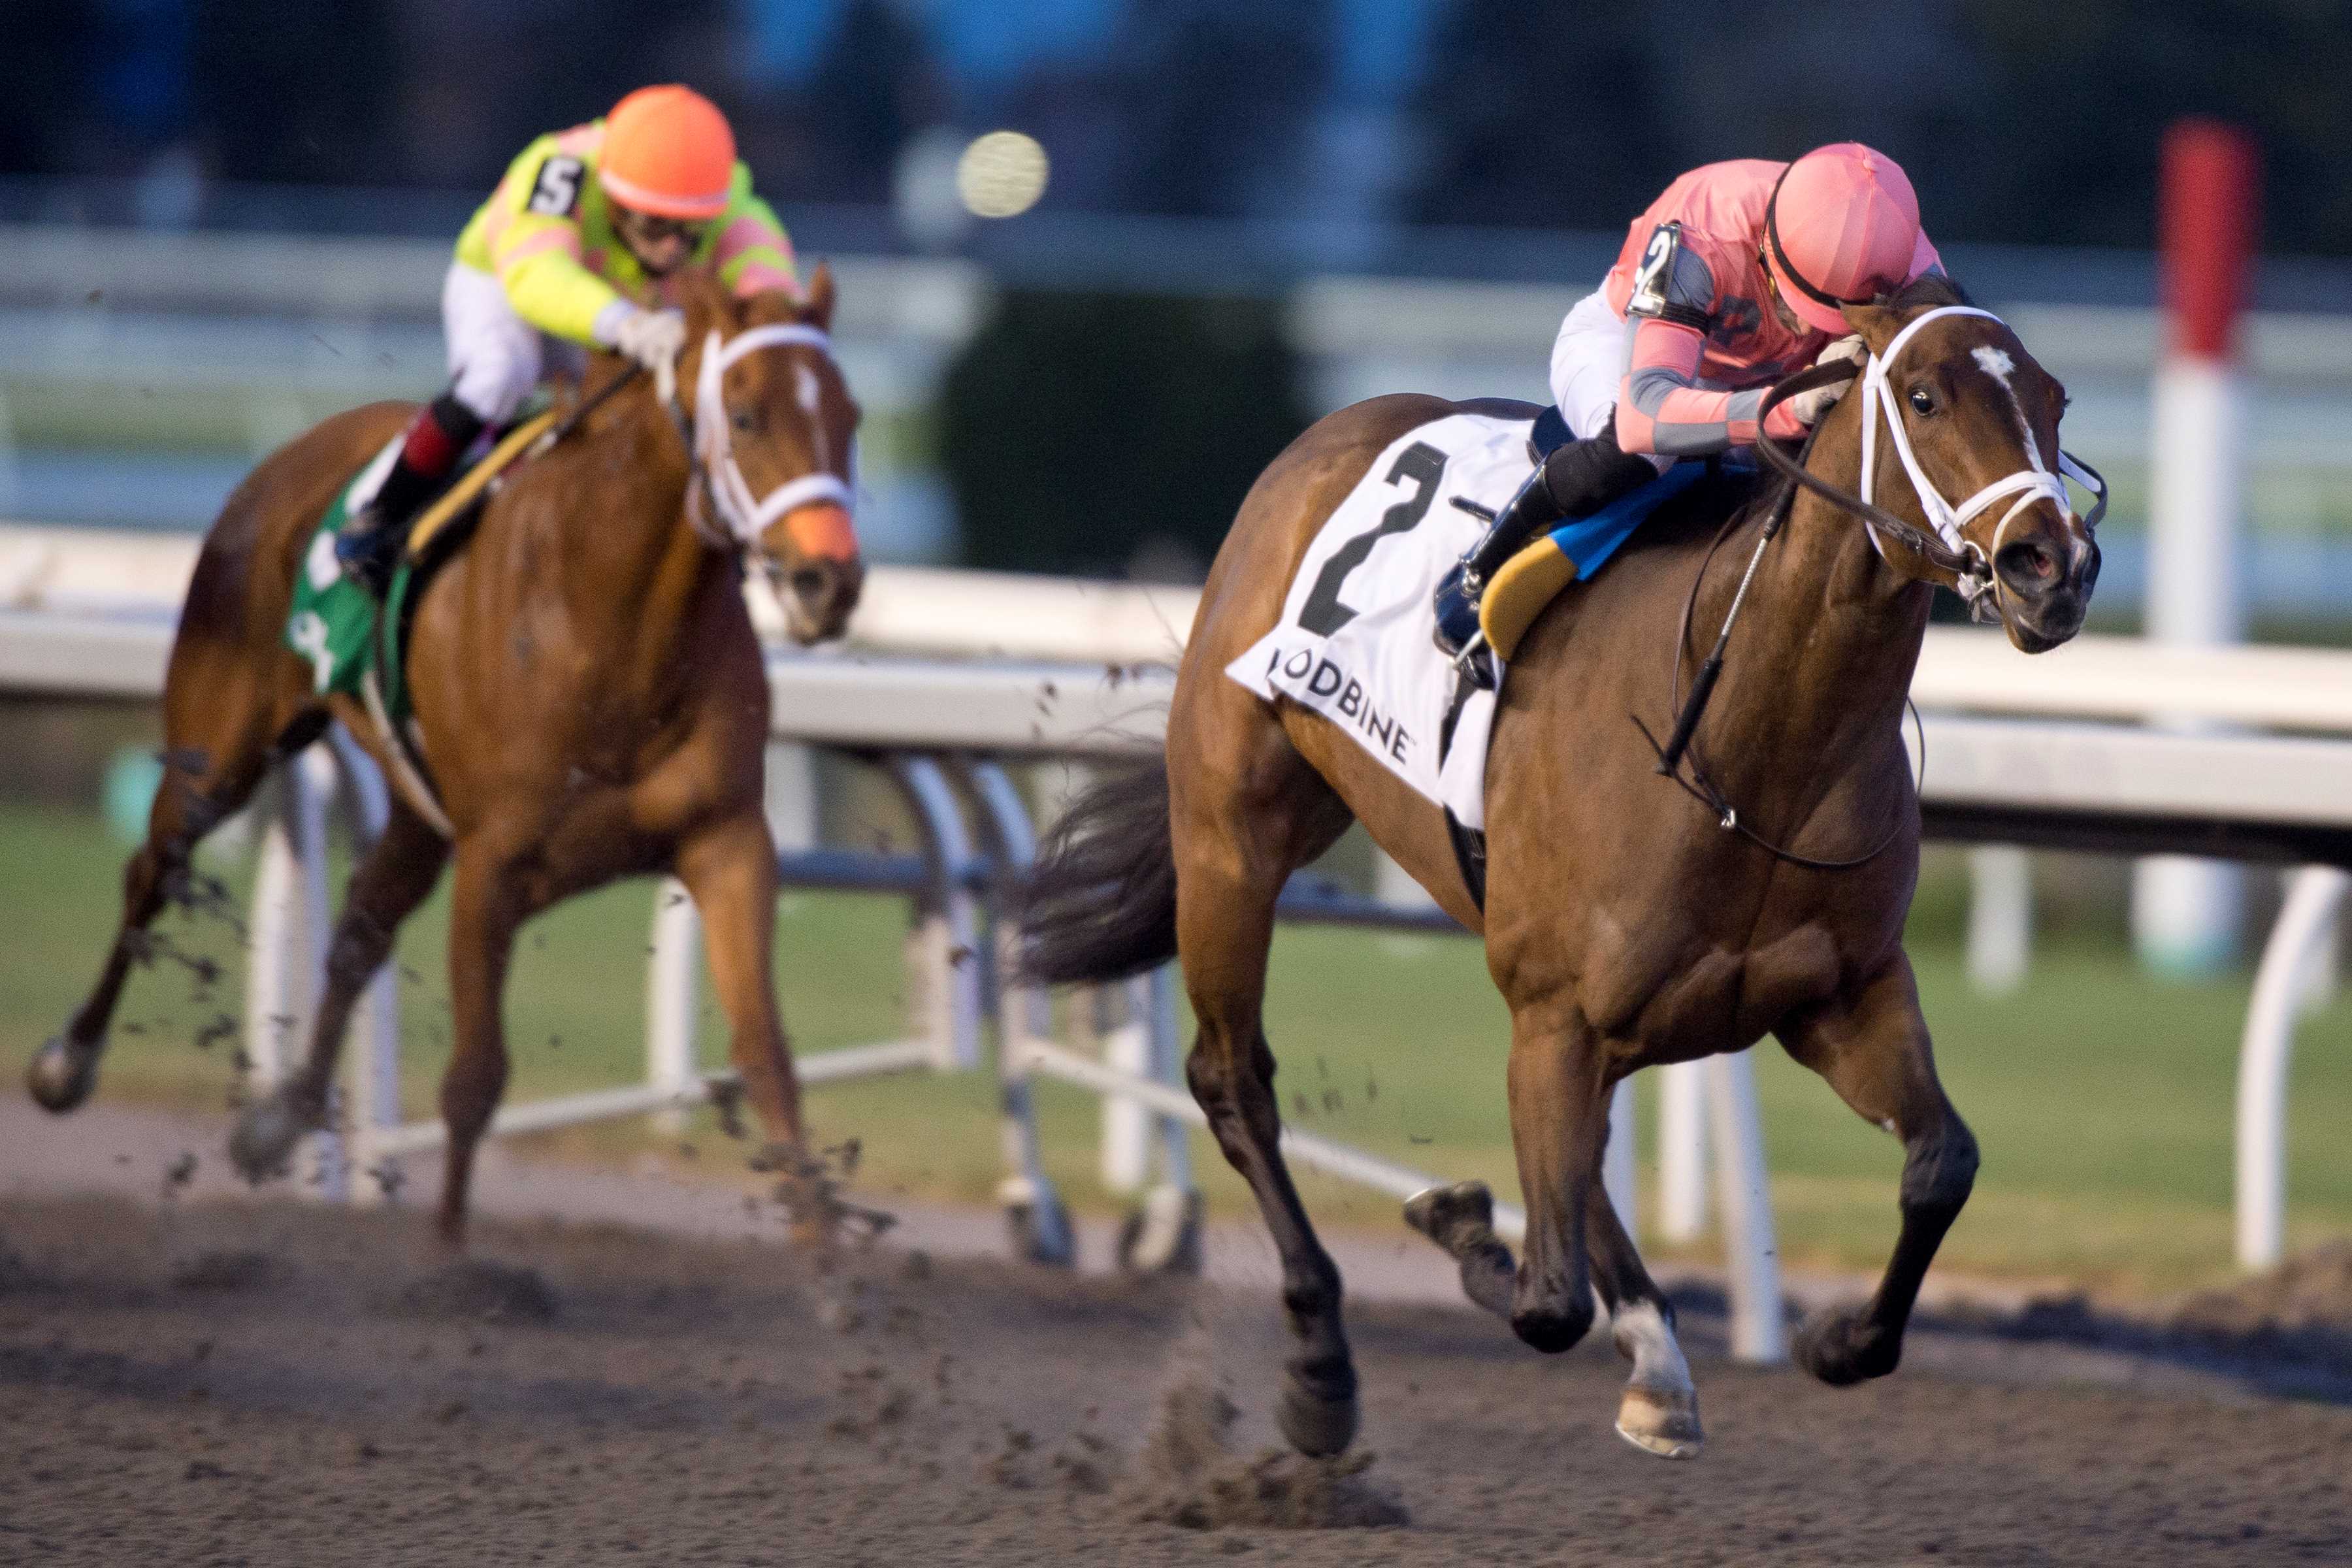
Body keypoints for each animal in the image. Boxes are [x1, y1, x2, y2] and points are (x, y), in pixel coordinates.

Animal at [32, 272, 865, 1250]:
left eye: (849, 415)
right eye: (745, 413)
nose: (828, 583)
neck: (615, 623)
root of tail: (292, 454)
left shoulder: (726, 842)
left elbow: (769, 1057)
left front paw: (828, 1267)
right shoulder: (494, 862)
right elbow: (474, 1077)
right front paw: (449, 1261)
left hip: (416, 808)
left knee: (360, 927)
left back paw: (278, 1120)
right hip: (220, 744)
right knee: (156, 867)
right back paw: (67, 1062)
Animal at [1021, 278, 2107, 1457]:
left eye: (2055, 398)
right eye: (1923, 395)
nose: (2056, 566)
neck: (1751, 744)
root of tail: (1327, 437)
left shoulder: (1841, 994)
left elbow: (1941, 1163)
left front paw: (1836, 1341)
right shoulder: (1556, 1010)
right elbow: (1545, 1299)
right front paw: (1461, 1233)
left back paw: (1652, 1357)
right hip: (1232, 837)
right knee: (1233, 1080)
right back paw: (1323, 1357)